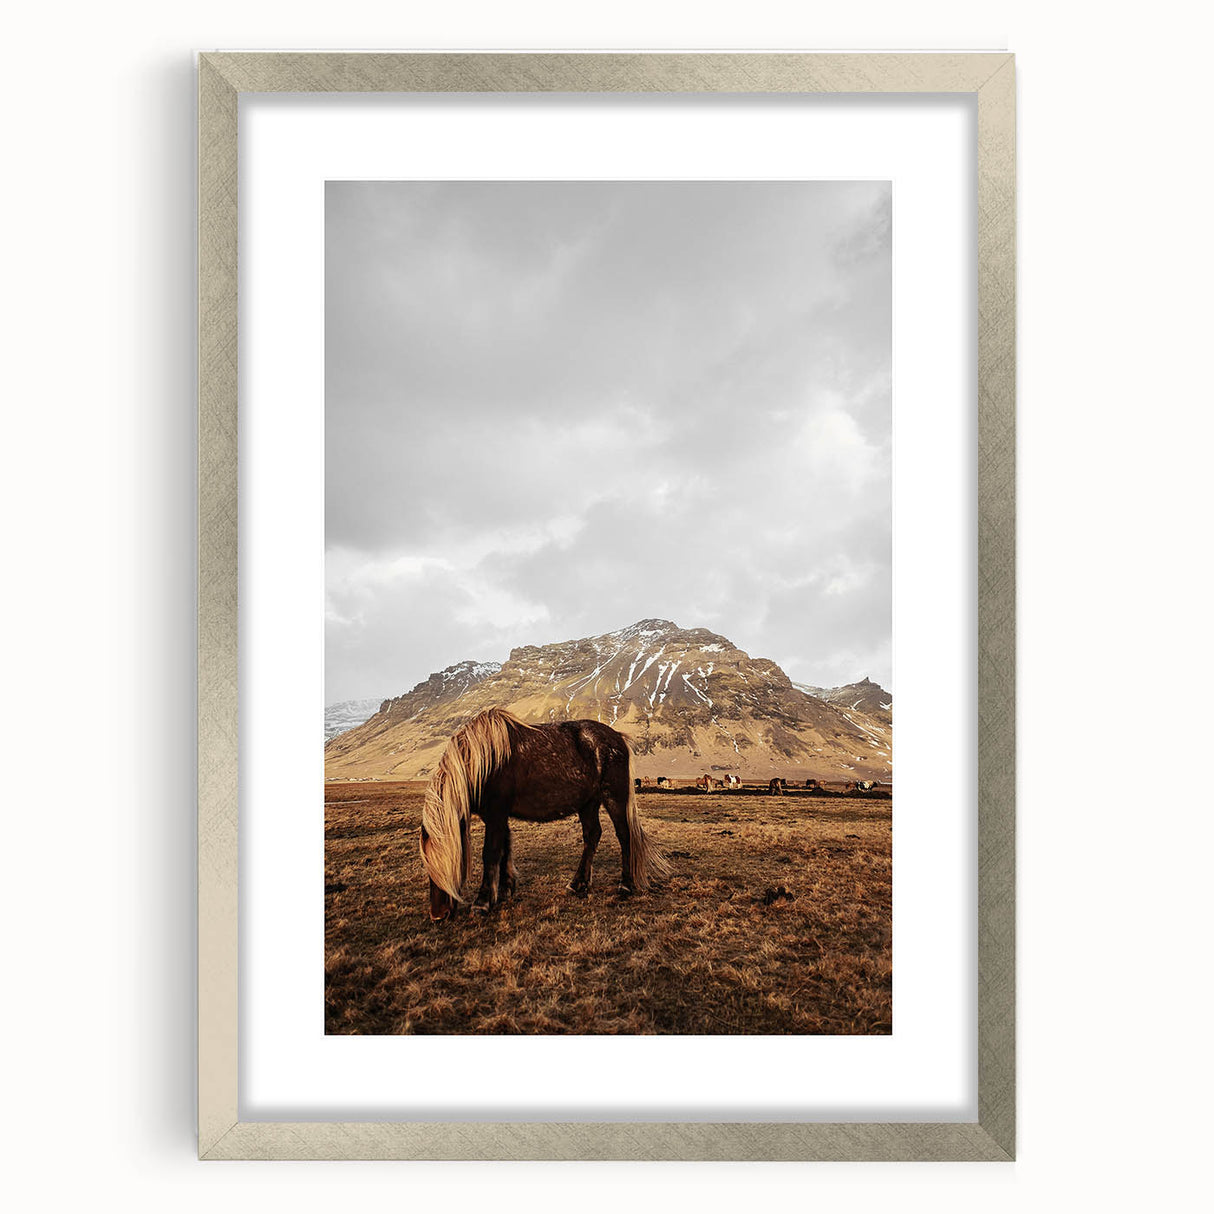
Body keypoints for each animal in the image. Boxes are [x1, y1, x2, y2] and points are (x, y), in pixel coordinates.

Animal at [419, 708, 669, 921]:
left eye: (447, 861)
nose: (438, 915)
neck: (484, 761)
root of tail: (618, 738)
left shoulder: (496, 814)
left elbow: (490, 853)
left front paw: (482, 902)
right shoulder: (499, 816)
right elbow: (505, 848)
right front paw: (505, 889)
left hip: (613, 797)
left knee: (624, 835)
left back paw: (625, 885)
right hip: (588, 803)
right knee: (592, 835)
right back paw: (578, 884)